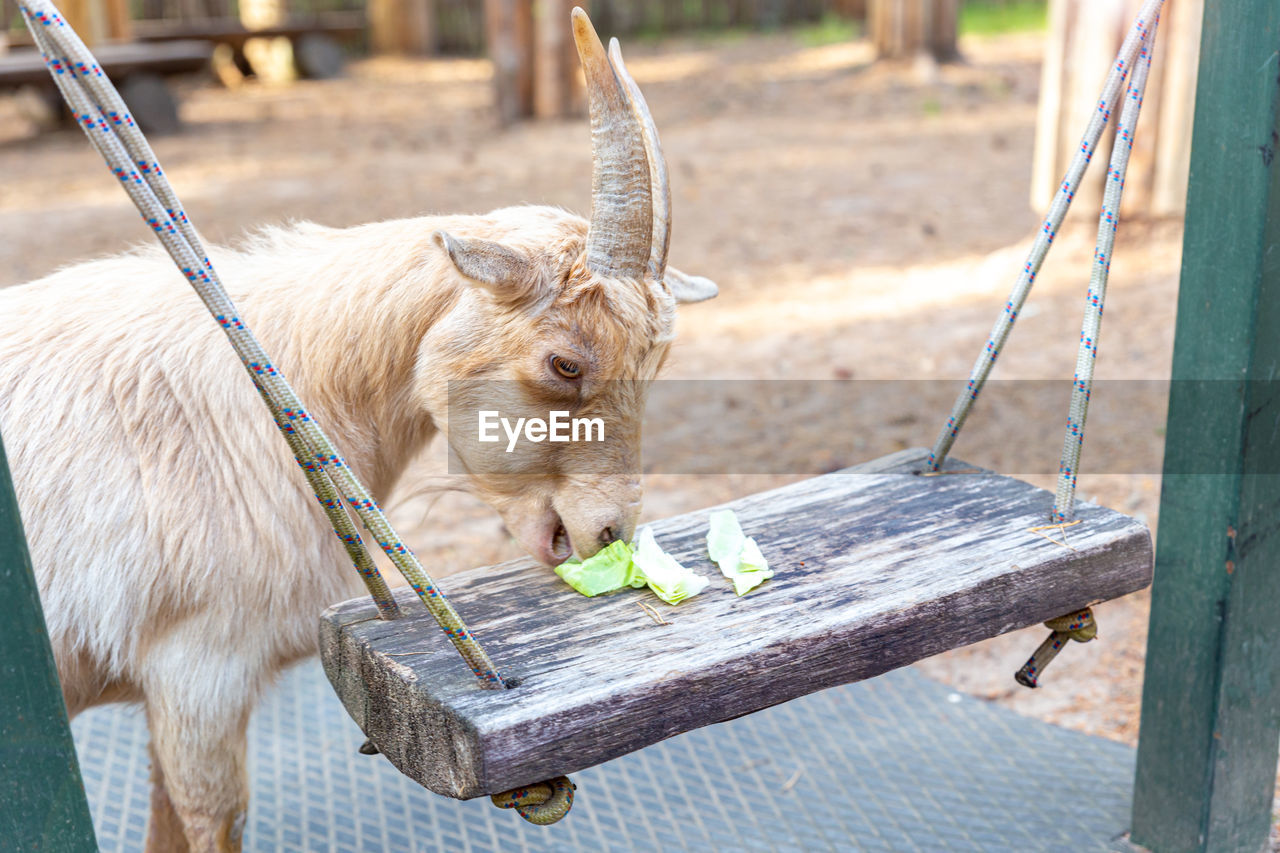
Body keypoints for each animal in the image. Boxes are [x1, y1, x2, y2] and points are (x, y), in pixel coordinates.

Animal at [0, 9, 716, 845]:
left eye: (657, 363)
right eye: (566, 362)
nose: (607, 533)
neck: (271, 385)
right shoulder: (198, 668)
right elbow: (210, 815)